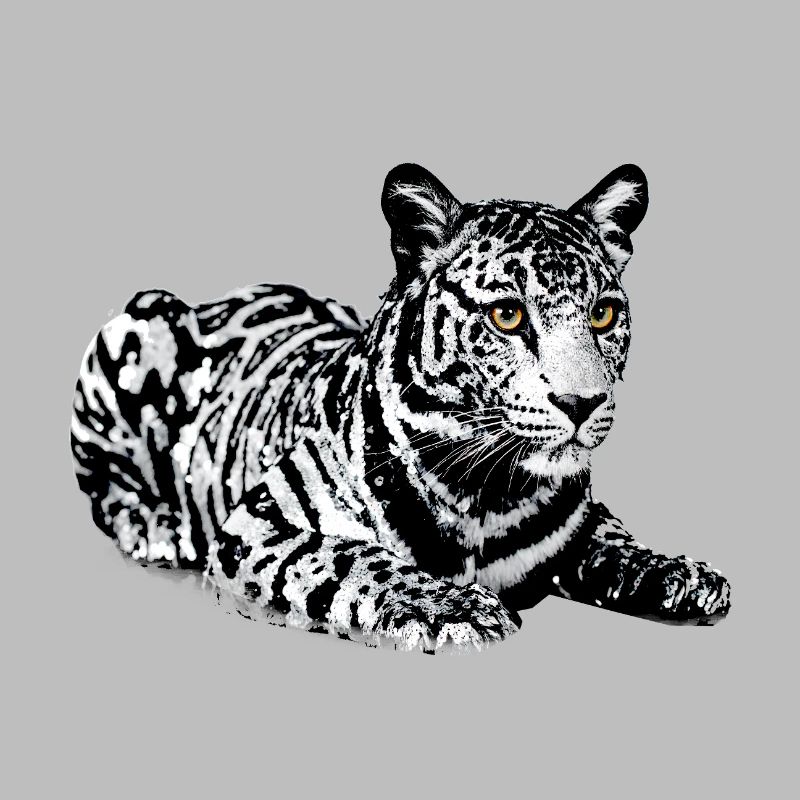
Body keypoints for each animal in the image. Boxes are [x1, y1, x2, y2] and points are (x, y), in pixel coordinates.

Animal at [71, 163, 731, 650]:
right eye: (507, 314)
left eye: (603, 314)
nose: (582, 402)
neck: (488, 492)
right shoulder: (258, 524)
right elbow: (354, 556)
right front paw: (458, 607)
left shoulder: (582, 517)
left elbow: (612, 537)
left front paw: (678, 573)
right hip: (135, 326)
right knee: (104, 486)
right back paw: (159, 529)